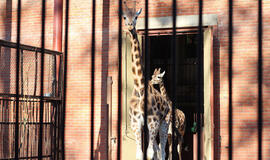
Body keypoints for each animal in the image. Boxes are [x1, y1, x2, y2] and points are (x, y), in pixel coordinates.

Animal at [123, 3, 170, 160]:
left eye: (136, 17)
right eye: (124, 17)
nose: (130, 26)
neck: (139, 87)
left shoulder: (153, 122)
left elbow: (149, 153)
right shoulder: (136, 123)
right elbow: (140, 153)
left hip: (164, 124)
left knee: (162, 151)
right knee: (158, 149)